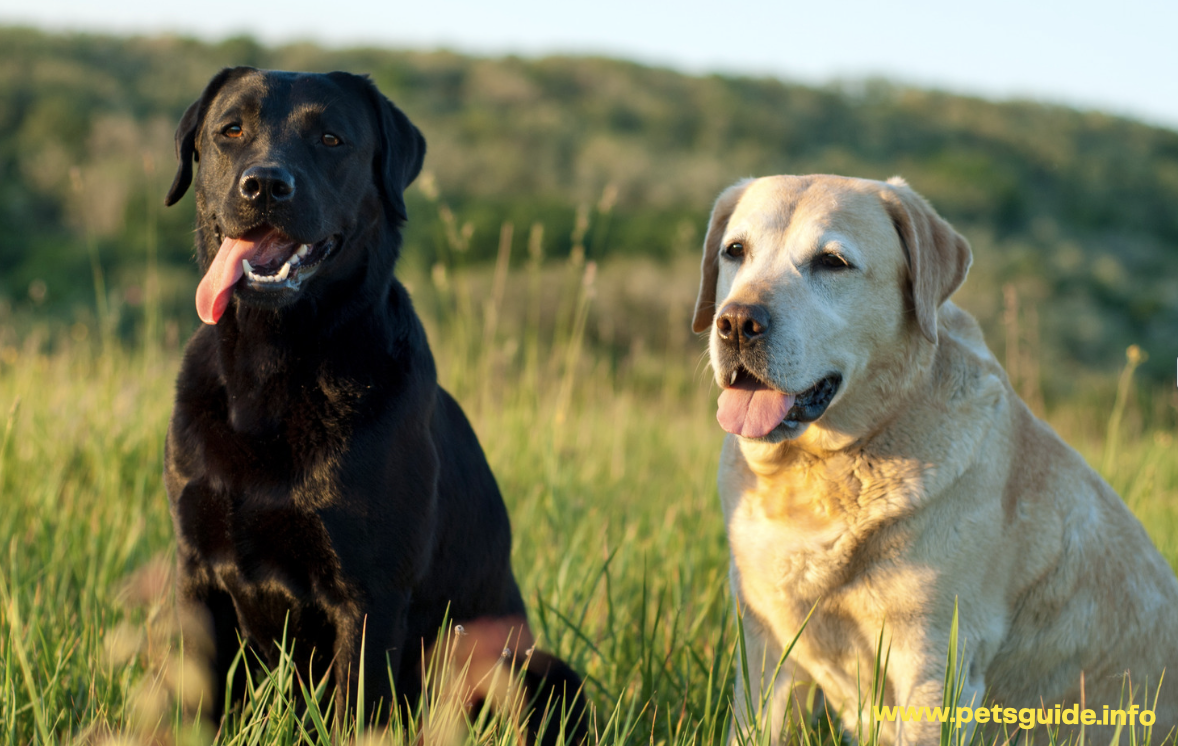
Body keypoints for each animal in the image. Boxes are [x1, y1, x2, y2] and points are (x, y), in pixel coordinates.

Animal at [163, 66, 586, 740]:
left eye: (331, 139)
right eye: (230, 130)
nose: (265, 185)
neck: (271, 372)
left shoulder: (369, 596)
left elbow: (353, 714)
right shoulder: (196, 574)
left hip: (543, 670)